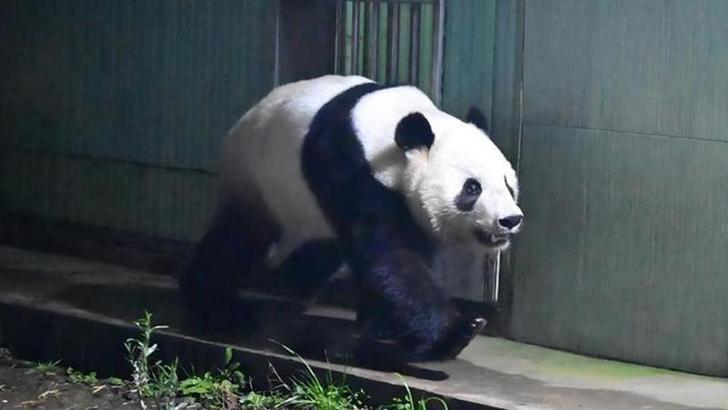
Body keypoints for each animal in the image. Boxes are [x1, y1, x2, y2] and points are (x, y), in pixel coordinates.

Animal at [181, 75, 523, 361]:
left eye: (508, 184)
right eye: (472, 188)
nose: (510, 220)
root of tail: (244, 120)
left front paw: (384, 325)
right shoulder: (347, 166)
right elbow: (392, 255)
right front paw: (454, 332)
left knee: (320, 250)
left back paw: (289, 287)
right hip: (256, 176)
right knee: (236, 239)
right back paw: (217, 306)